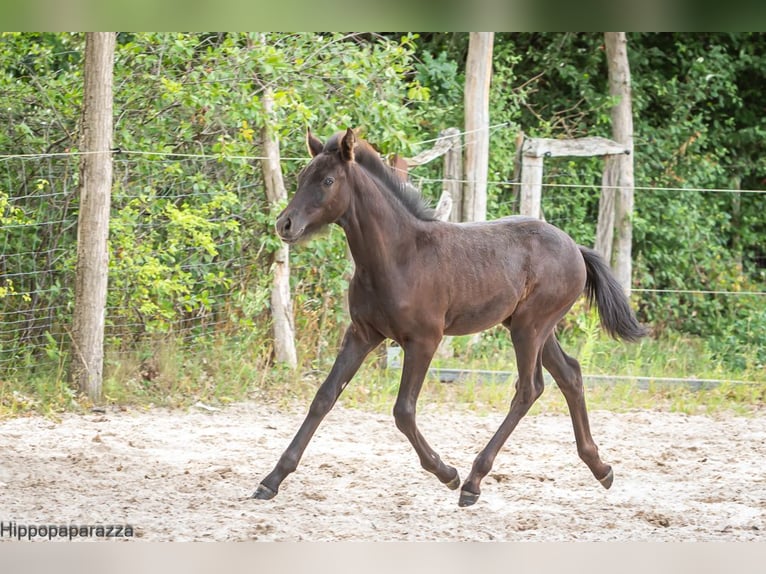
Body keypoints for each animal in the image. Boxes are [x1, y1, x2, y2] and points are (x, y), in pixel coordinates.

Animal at [254, 128, 648, 506]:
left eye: (327, 181)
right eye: (302, 175)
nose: (285, 224)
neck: (397, 257)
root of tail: (576, 249)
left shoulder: (424, 340)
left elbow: (403, 411)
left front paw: (447, 473)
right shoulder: (362, 334)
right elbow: (324, 398)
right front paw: (271, 480)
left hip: (530, 327)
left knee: (529, 388)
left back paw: (473, 481)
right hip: (535, 327)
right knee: (570, 375)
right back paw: (601, 468)